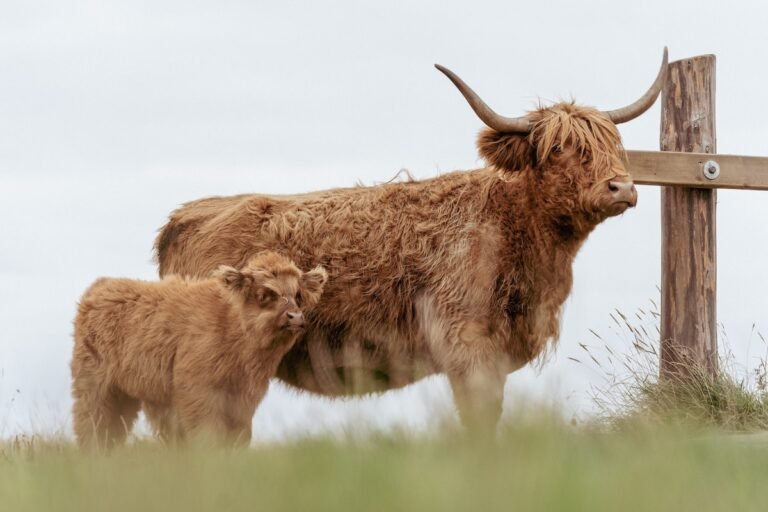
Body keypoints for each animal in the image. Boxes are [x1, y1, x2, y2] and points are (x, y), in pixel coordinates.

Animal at [71, 251, 327, 449]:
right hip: (95, 387)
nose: (295, 317)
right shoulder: (199, 394)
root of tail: (102, 286)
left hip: (127, 394)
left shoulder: (243, 400)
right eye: (264, 294)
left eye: (298, 295)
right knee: (92, 428)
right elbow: (208, 437)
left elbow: (239, 438)